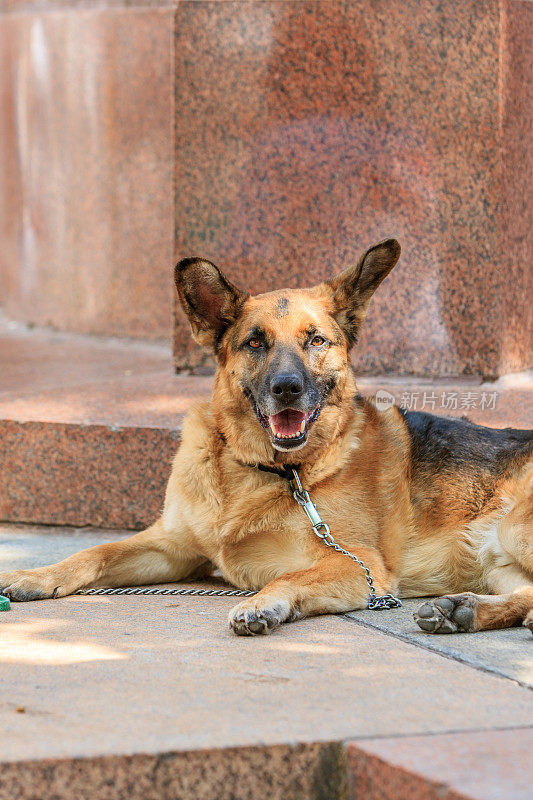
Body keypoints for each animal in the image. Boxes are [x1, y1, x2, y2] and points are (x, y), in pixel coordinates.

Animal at [1, 241, 532, 636]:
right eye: (255, 341)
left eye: (316, 340)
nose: (287, 388)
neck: (264, 471)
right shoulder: (170, 547)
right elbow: (93, 553)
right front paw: (35, 576)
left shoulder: (360, 566)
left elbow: (293, 575)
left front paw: (264, 603)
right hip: (496, 560)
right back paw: (462, 610)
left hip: (513, 529)